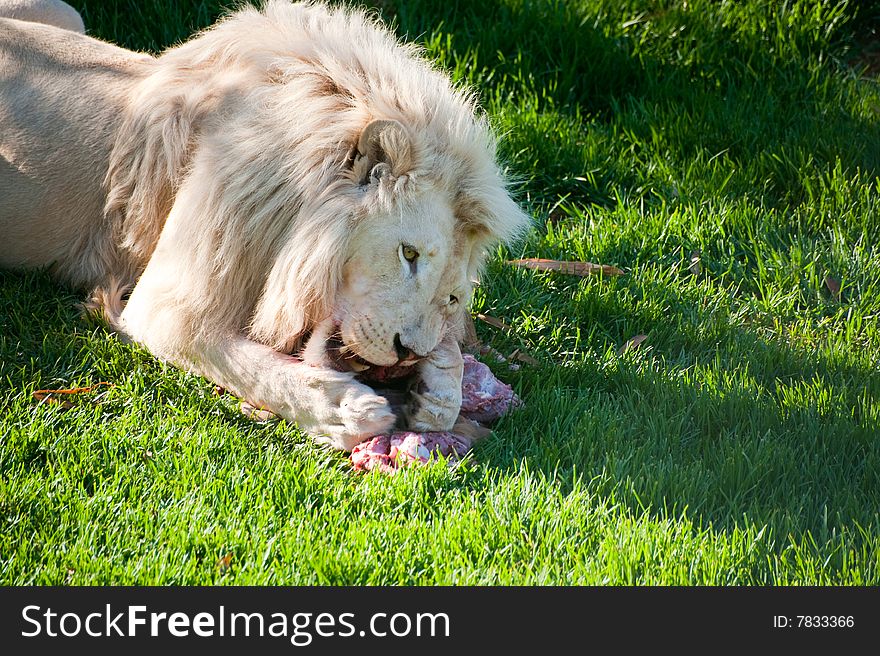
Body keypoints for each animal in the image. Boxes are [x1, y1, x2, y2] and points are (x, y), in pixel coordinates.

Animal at [0, 0, 528, 452]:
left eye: (452, 297)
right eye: (409, 254)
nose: (405, 353)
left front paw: (440, 389)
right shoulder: (161, 307)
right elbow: (246, 365)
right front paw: (342, 409)